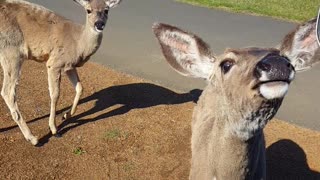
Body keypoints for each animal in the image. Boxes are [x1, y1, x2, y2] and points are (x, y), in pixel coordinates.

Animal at [0, 0, 122, 146]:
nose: (99, 24)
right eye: (88, 10)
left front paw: (66, 115)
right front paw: (54, 129)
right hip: (12, 52)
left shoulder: (69, 65)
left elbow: (80, 88)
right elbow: (55, 94)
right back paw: (33, 138)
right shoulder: (54, 63)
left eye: (106, 10)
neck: (78, 44)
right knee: (8, 92)